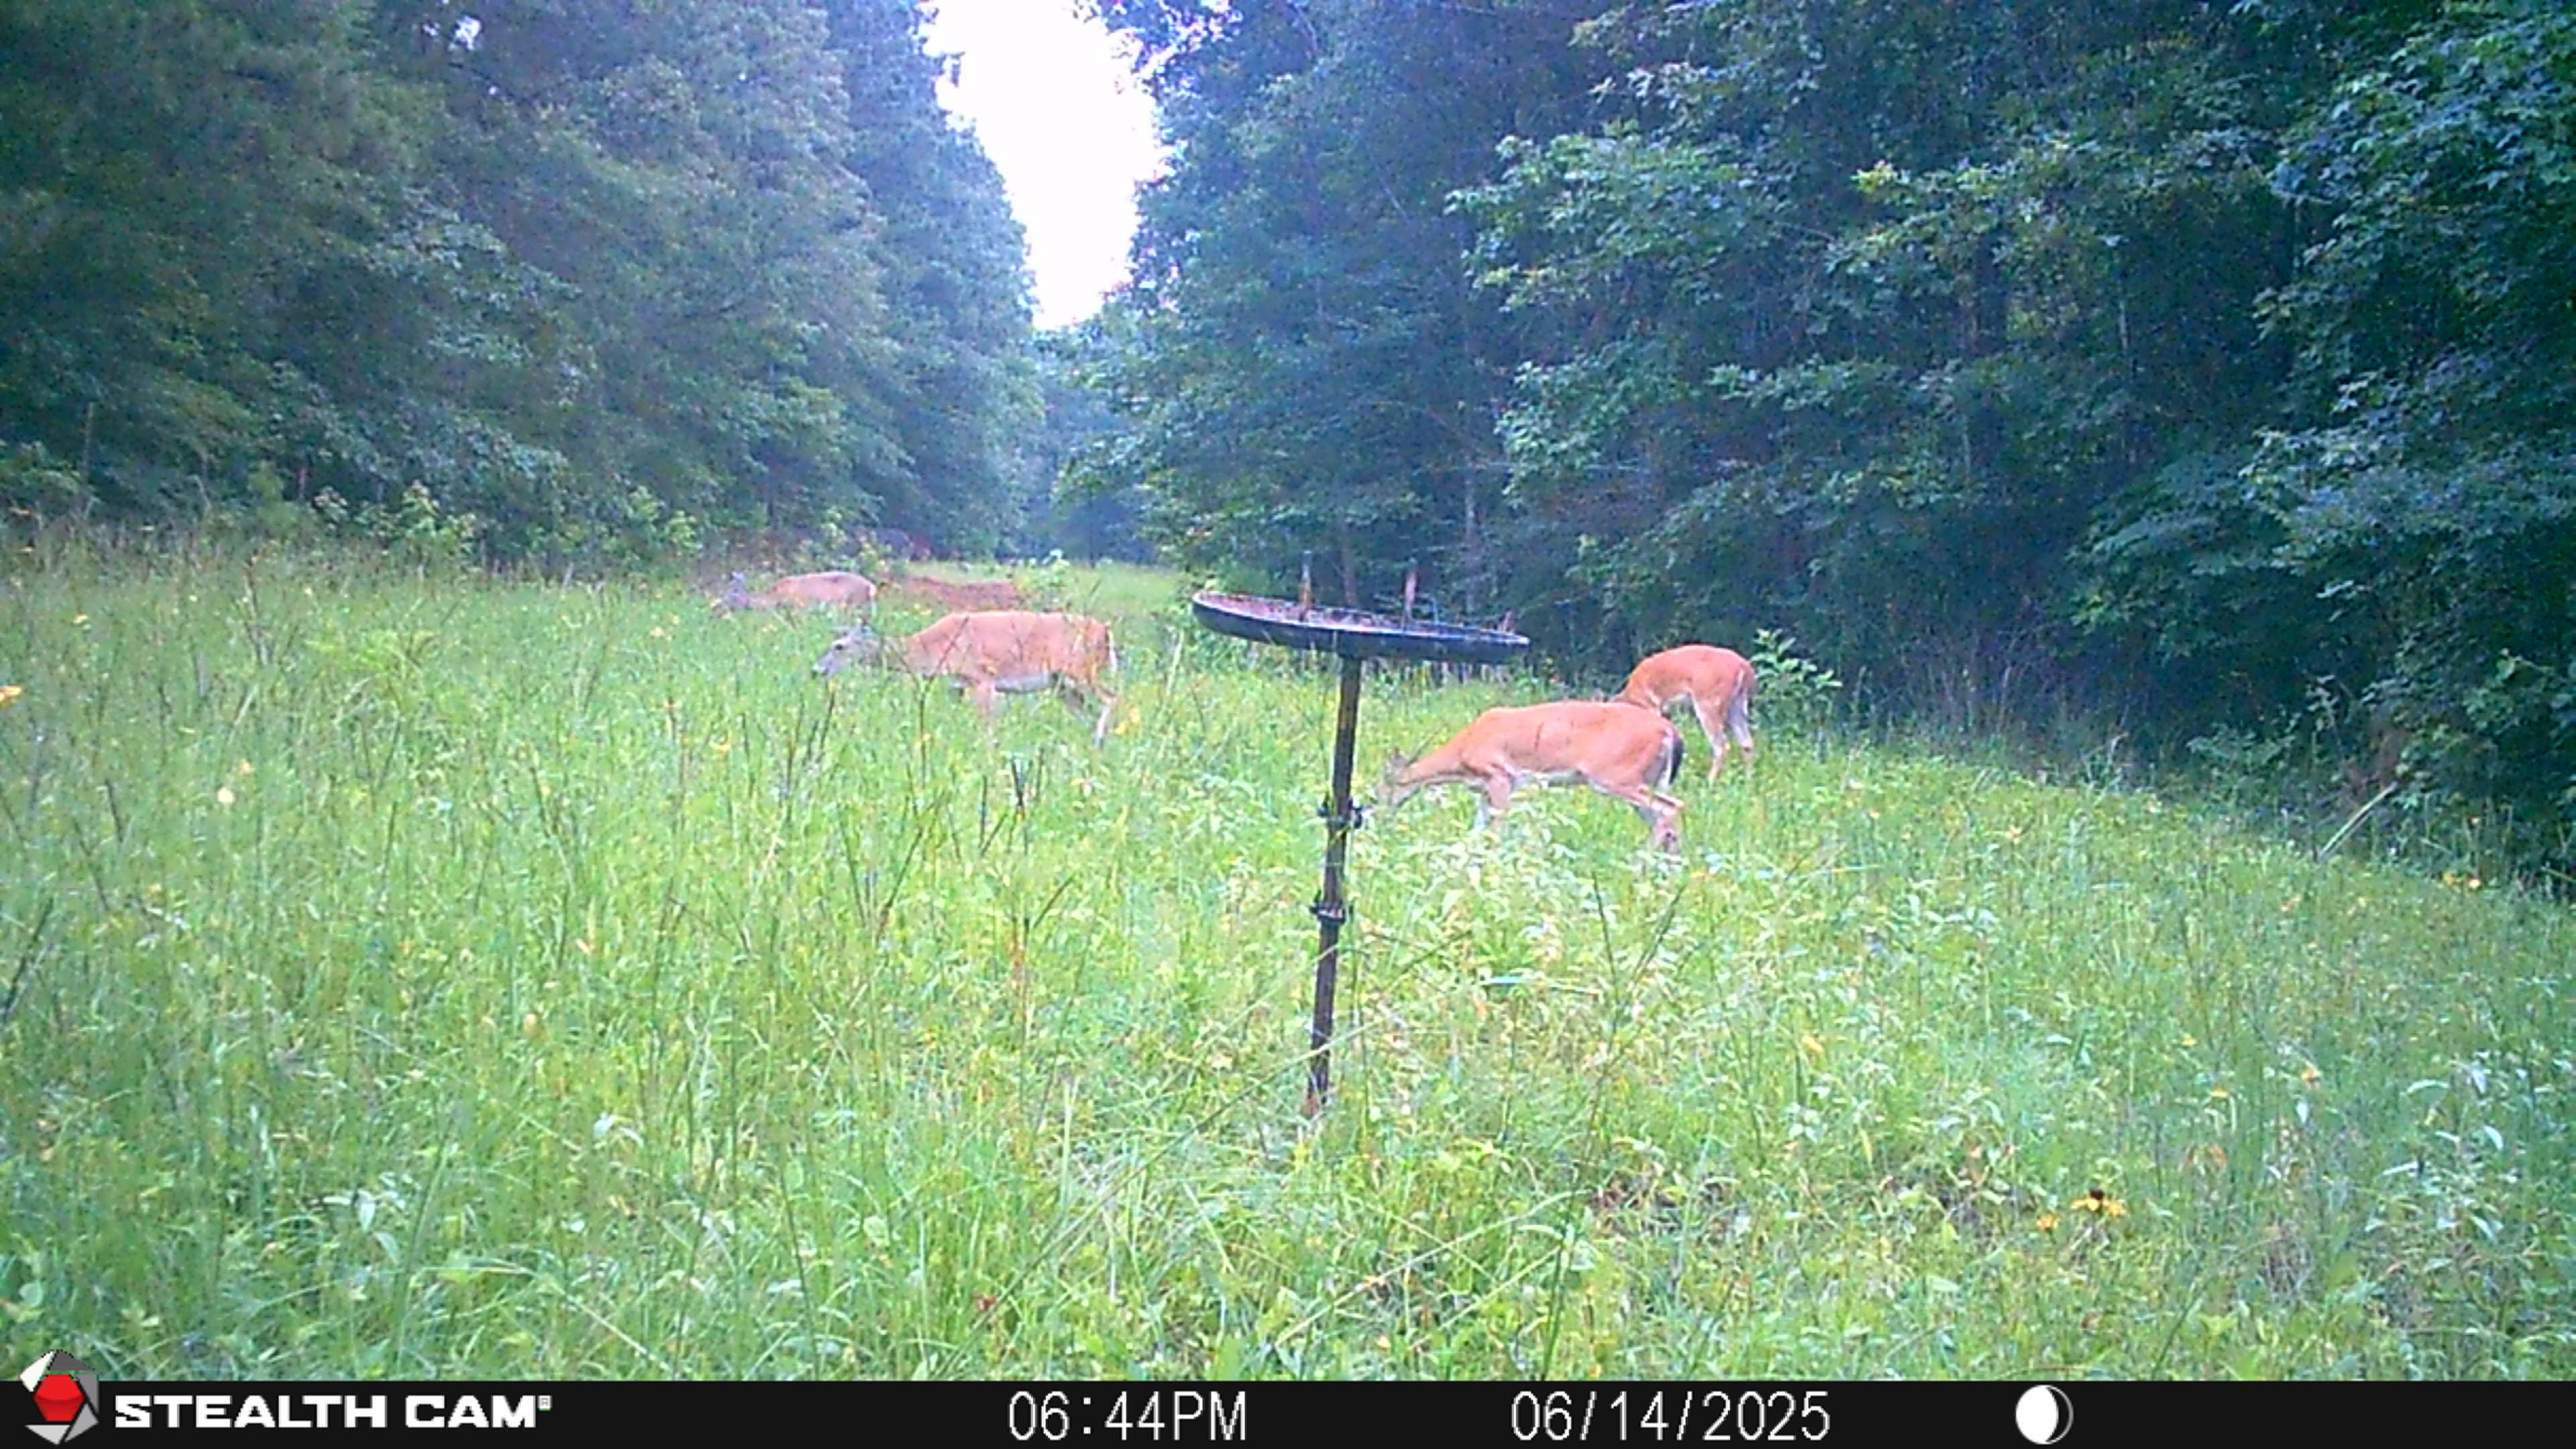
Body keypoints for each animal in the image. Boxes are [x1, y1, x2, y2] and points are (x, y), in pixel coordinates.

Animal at [813, 610, 1118, 744]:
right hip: (1062, 684)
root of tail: (1105, 632)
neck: (934, 649)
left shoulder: (982, 678)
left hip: (1082, 670)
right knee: (1087, 712)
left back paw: (1099, 740)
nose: (817, 670)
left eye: (839, 646)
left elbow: (987, 725)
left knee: (1112, 697)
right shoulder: (956, 685)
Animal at [1377, 701, 1687, 851]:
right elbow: (1476, 830)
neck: (1464, 749)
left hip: (1614, 776)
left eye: (1382, 787)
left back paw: (1641, 862)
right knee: (1664, 819)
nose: (1380, 813)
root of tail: (1670, 732)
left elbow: (1497, 827)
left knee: (1672, 808)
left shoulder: (1501, 775)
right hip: (1646, 779)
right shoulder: (1486, 788)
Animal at [1613, 644, 1756, 782]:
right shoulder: (1665, 711)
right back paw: (1748, 782)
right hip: (1737, 704)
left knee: (1722, 745)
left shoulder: (1652, 706)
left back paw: (1709, 782)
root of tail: (1744, 667)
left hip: (1709, 702)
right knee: (1747, 743)